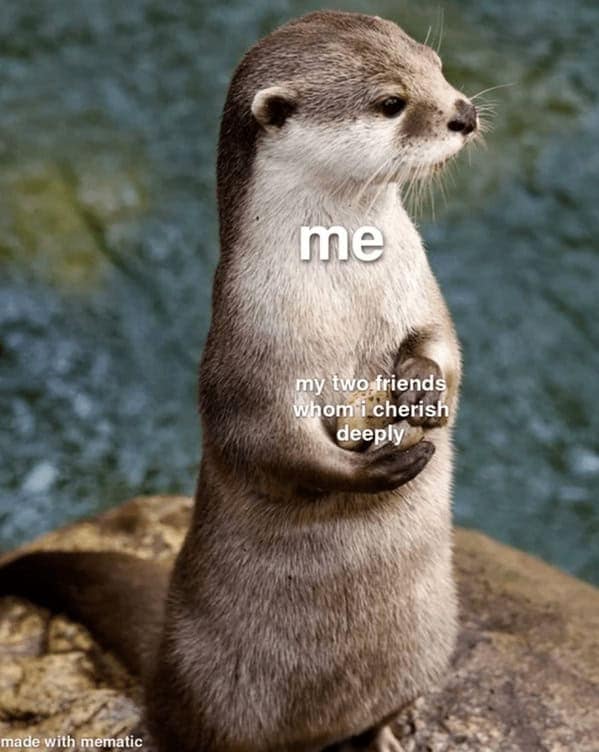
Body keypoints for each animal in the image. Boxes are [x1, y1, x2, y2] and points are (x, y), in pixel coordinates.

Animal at [0, 11, 477, 752]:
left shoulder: (422, 294)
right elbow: (269, 445)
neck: (341, 280)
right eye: (391, 103)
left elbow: (443, 349)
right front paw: (377, 467)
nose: (463, 112)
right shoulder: (245, 351)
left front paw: (420, 388)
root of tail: (162, 665)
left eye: (436, 65)